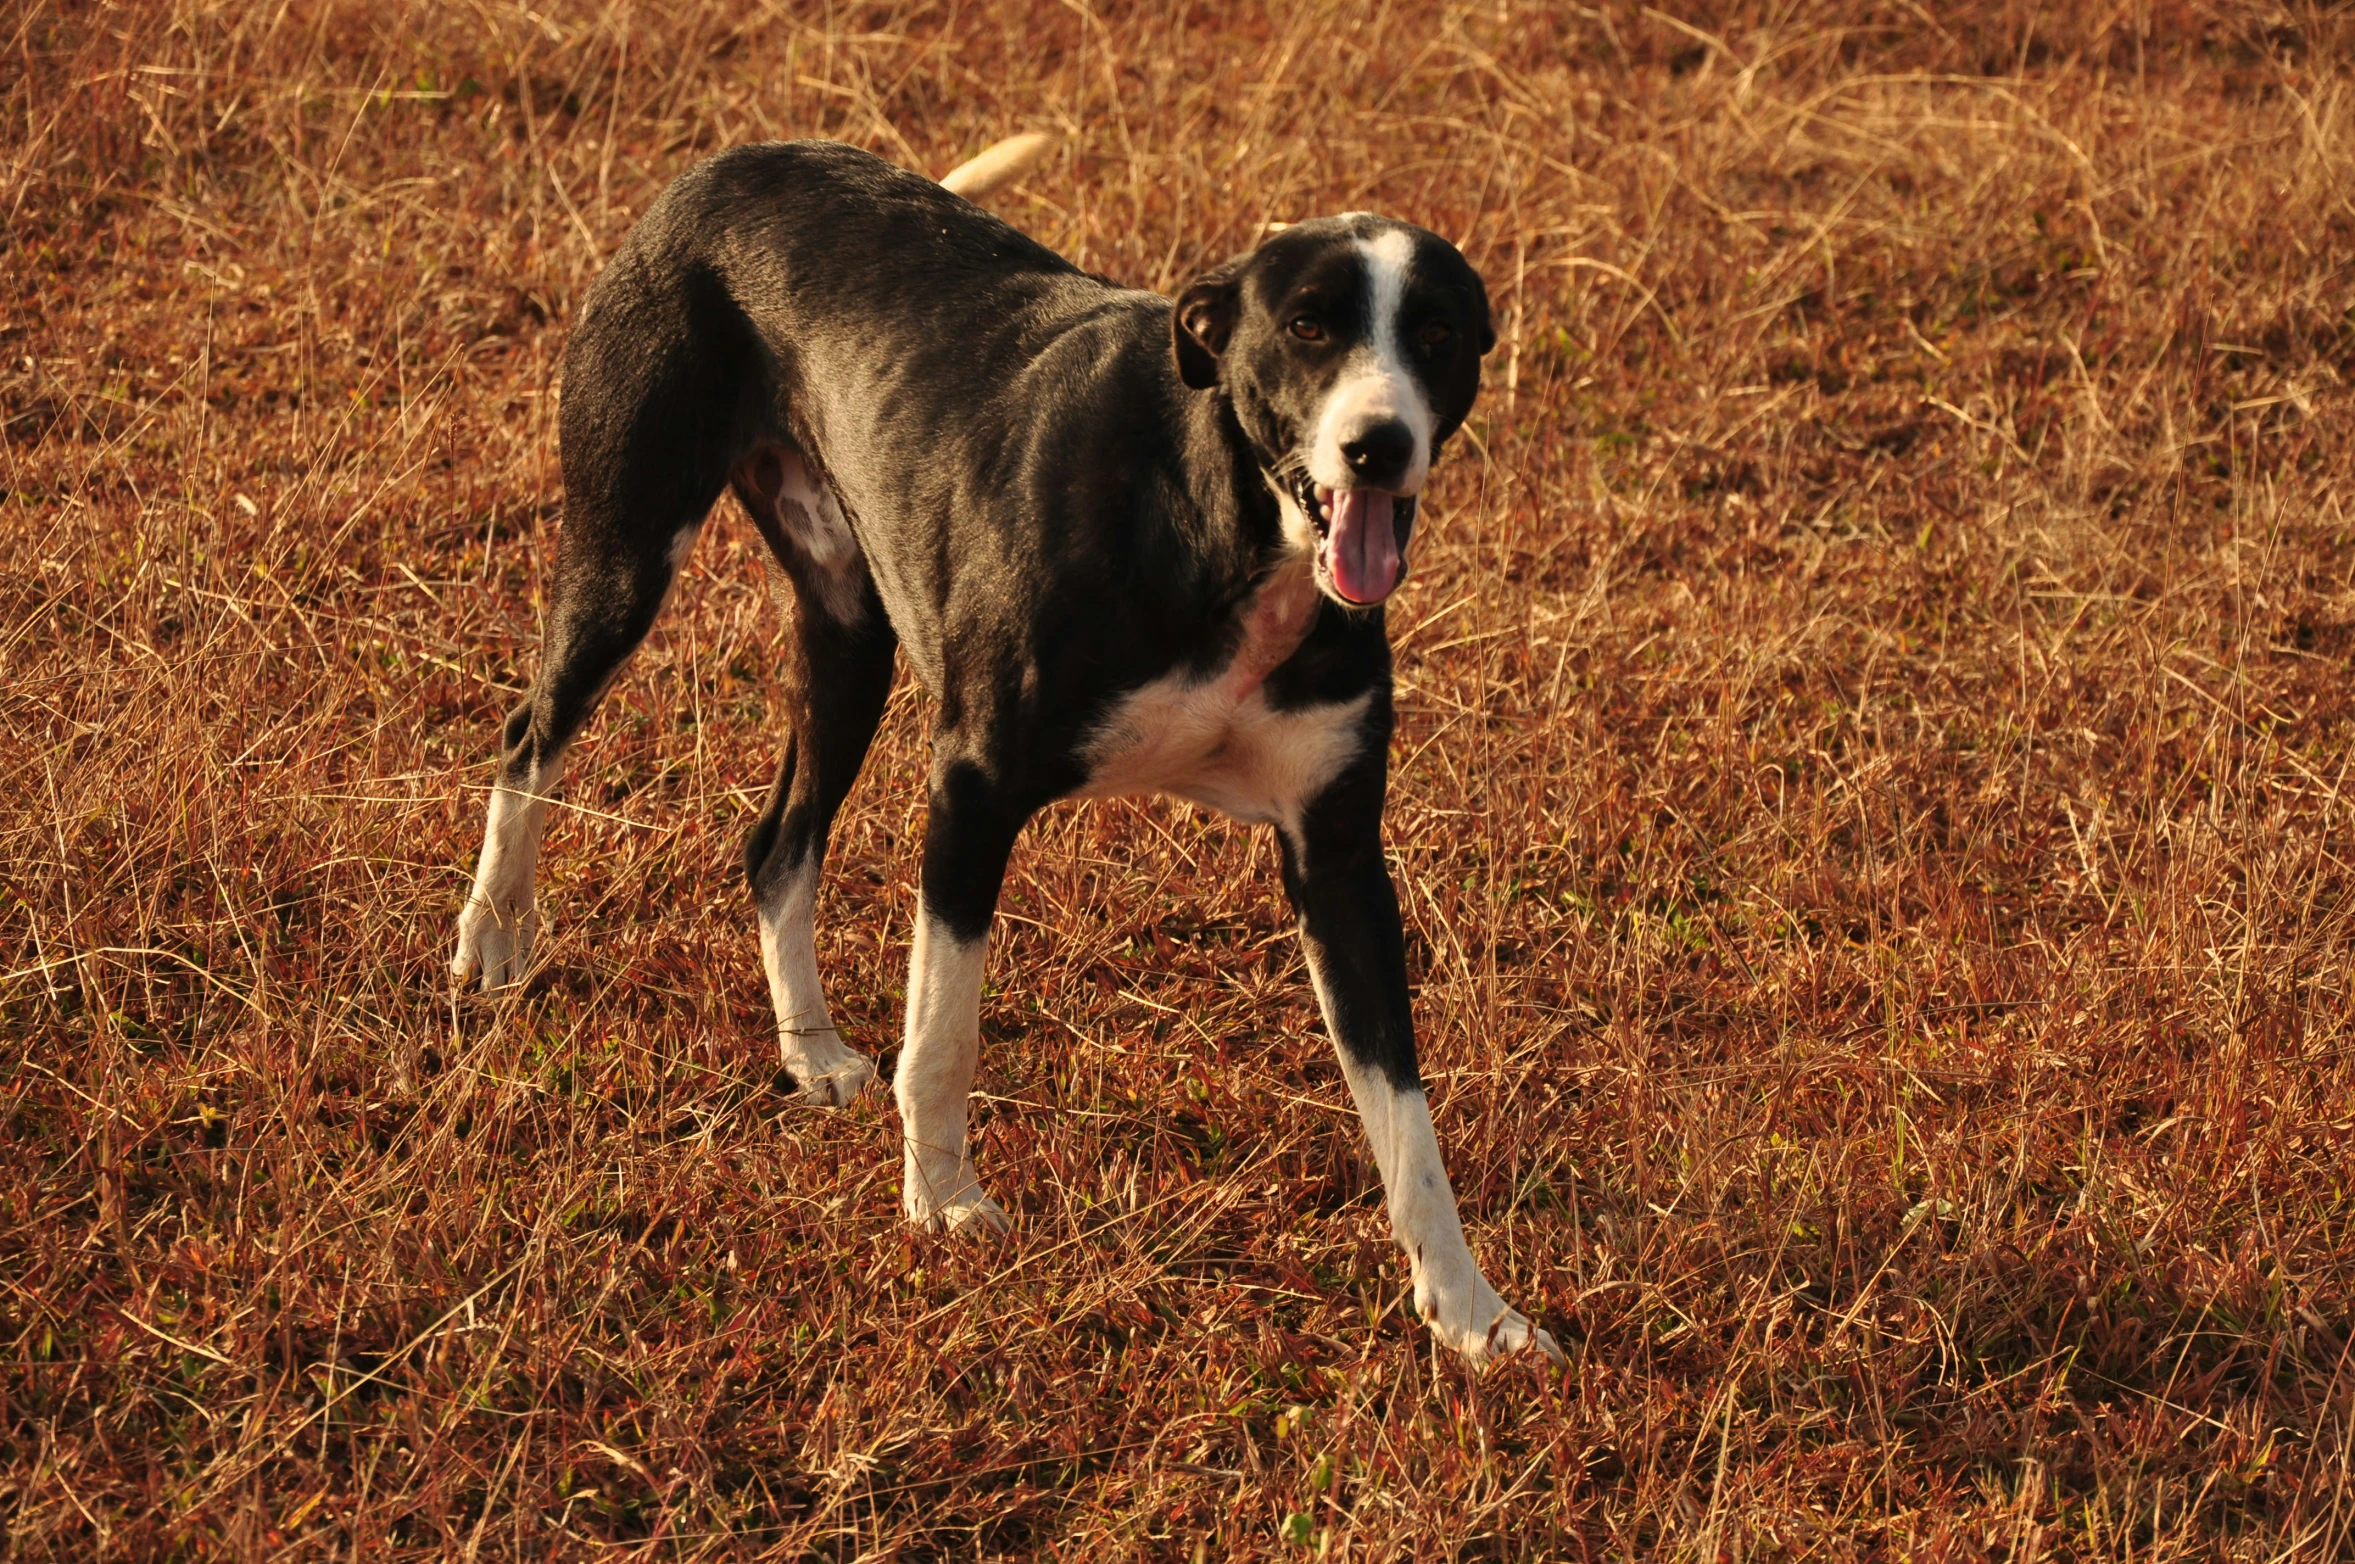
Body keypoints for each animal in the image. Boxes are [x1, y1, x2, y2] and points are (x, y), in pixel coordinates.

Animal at [452, 134, 1563, 1366]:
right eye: (1310, 325)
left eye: (1438, 335)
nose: (1378, 446)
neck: (1221, 522)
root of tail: (730, 162)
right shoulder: (973, 788)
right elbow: (941, 1036)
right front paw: (942, 1204)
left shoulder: (1339, 859)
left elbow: (1408, 1121)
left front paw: (1472, 1310)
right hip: (627, 553)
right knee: (531, 734)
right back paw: (493, 935)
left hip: (851, 634)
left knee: (776, 842)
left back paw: (808, 1048)